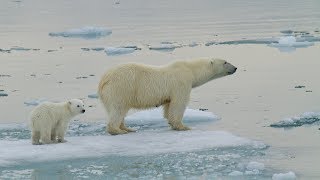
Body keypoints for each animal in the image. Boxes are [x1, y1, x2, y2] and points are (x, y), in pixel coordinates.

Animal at [99, 58, 236, 135]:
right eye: (225, 62)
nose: (235, 67)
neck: (191, 70)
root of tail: (103, 80)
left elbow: (169, 106)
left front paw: (172, 123)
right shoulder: (181, 83)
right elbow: (179, 104)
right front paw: (183, 126)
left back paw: (128, 128)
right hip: (121, 88)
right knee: (118, 108)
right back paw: (118, 130)